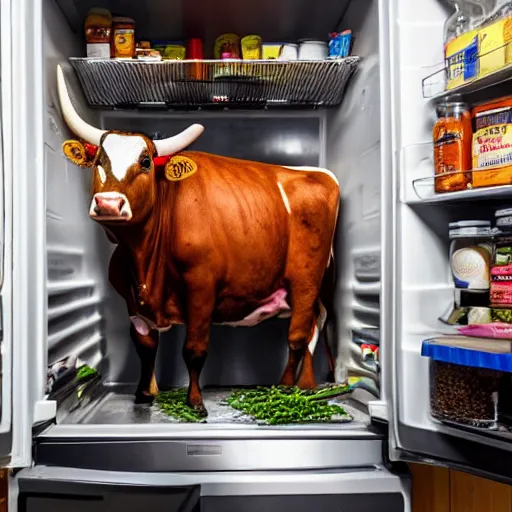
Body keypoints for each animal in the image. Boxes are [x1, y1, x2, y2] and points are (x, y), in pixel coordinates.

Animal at [57, 66, 340, 414]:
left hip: (306, 281)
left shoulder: (202, 286)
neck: (145, 264)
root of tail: (313, 172)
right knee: (312, 330)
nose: (109, 203)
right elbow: (146, 346)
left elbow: (194, 349)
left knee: (298, 337)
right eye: (99, 161)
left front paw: (195, 403)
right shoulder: (132, 302)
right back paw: (307, 386)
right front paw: (144, 395)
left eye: (146, 162)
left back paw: (286, 389)